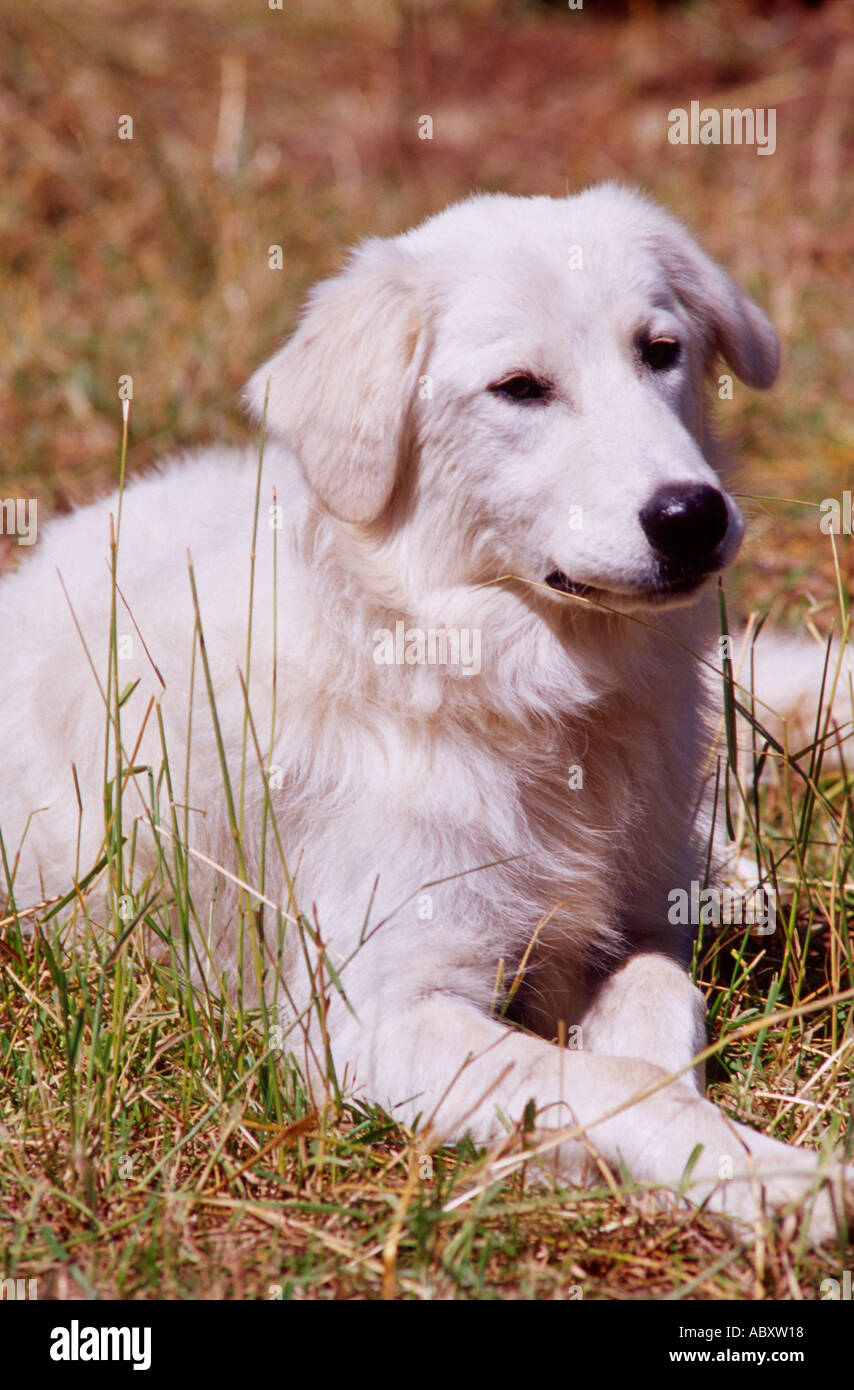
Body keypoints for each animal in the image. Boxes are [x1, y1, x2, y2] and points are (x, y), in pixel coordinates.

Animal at [3, 184, 851, 1239]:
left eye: (661, 351)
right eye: (520, 388)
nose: (693, 516)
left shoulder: (637, 925)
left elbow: (655, 1021)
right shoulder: (369, 1013)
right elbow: (614, 1079)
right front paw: (773, 1177)